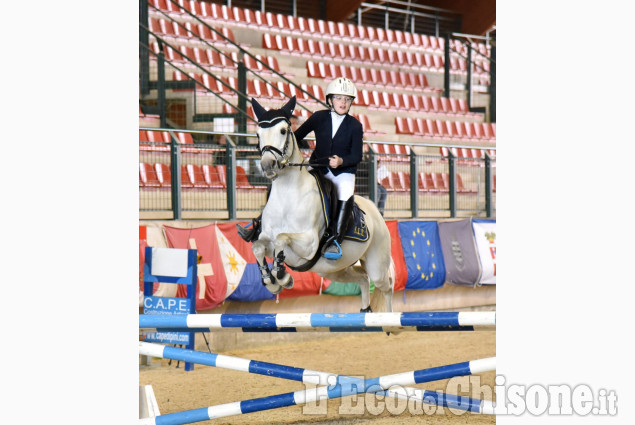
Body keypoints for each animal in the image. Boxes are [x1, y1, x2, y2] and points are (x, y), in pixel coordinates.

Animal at [246, 97, 396, 314]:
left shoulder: (309, 243)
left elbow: (282, 239)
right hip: (333, 270)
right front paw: (272, 281)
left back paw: (389, 317)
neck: (287, 193)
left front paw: (282, 276)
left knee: (386, 285)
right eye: (258, 134)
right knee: (362, 278)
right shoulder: (267, 239)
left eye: (283, 131)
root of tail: (375, 211)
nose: (267, 166)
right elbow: (258, 247)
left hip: (376, 264)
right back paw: (365, 310)